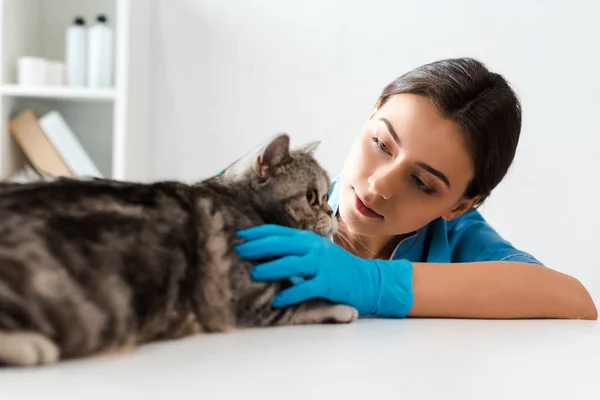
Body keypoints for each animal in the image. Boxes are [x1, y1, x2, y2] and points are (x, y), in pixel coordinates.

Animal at [0, 134, 358, 366]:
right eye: (312, 197)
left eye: (326, 196)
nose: (332, 212)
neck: (239, 202)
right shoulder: (253, 301)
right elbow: (312, 302)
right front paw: (342, 307)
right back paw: (33, 347)